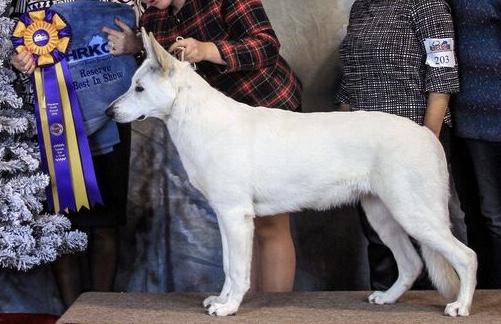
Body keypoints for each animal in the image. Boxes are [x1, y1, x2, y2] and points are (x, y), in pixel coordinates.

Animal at [106, 30, 476, 316]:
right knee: (412, 263)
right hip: (382, 215)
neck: (196, 118)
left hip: (414, 213)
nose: (109, 112)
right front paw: (221, 301)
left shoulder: (236, 216)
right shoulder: (225, 216)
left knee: (466, 256)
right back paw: (386, 298)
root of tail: (427, 135)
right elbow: (226, 265)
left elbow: (237, 269)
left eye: (139, 88)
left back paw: (460, 306)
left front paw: (229, 308)